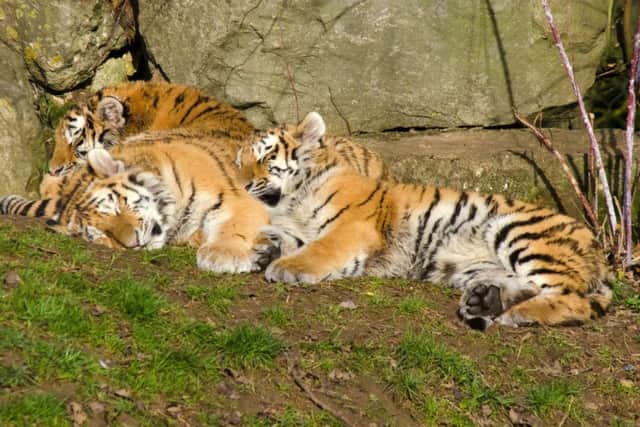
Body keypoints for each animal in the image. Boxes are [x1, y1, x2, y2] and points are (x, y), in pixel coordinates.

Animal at [3, 133, 270, 273]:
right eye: (99, 235)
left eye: (116, 206)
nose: (132, 243)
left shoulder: (235, 198)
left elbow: (234, 227)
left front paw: (222, 256)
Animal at [237, 111, 613, 330]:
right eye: (240, 161)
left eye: (267, 156)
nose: (242, 185)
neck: (291, 199)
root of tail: (599, 251)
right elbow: (286, 238)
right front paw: (262, 250)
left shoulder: (353, 226)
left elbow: (320, 249)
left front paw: (286, 267)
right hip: (470, 266)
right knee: (531, 286)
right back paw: (485, 301)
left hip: (519, 232)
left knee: (573, 300)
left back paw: (515, 314)